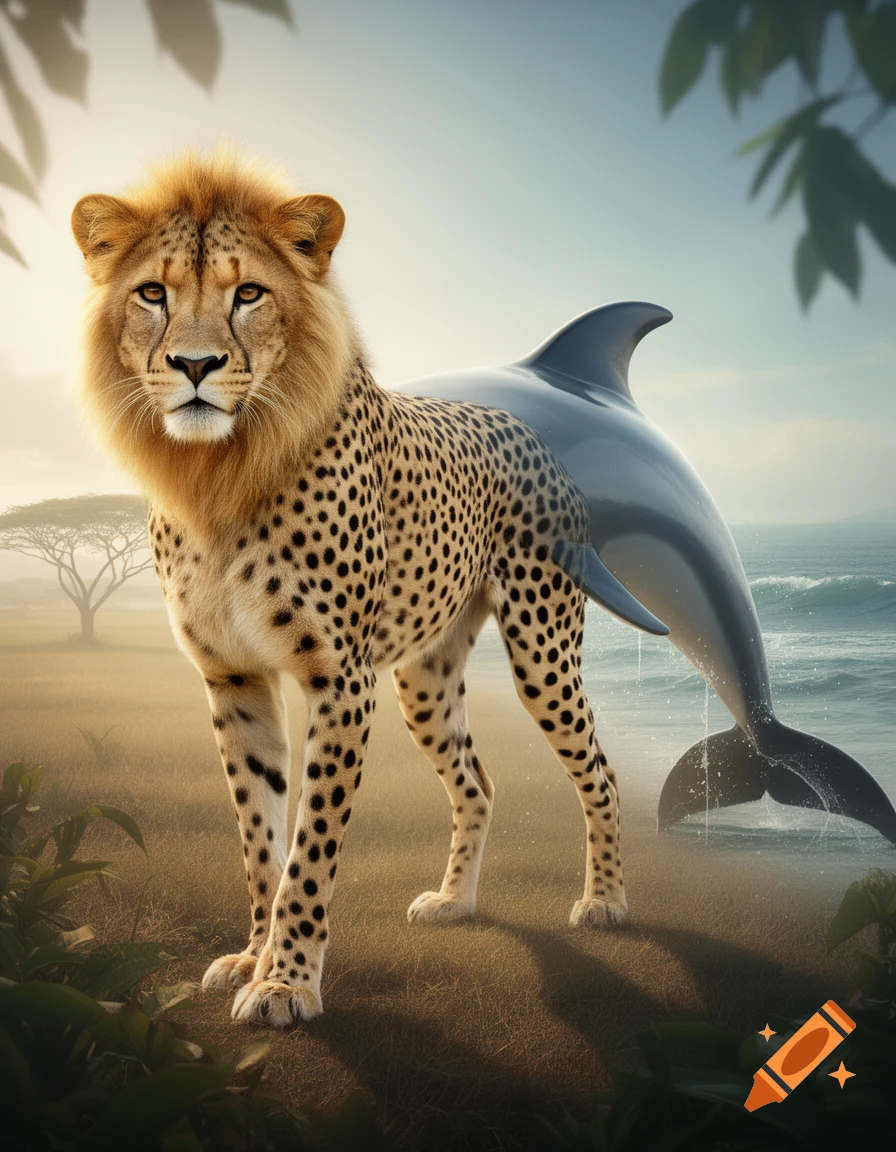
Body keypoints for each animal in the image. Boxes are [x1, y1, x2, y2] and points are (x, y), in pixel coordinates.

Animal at [71, 150, 627, 1028]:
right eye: (152, 293)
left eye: (249, 293)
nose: (195, 367)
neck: (221, 471)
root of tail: (523, 426)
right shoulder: (234, 680)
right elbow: (260, 839)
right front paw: (255, 956)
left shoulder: (340, 681)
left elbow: (311, 849)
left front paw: (287, 982)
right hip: (425, 681)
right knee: (477, 781)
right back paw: (456, 901)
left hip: (542, 653)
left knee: (599, 773)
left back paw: (606, 900)